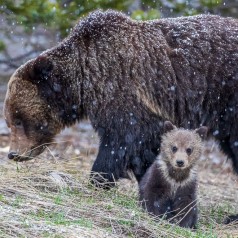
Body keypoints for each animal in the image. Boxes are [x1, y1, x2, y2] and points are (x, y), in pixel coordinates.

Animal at [3, 11, 238, 192]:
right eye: (10, 120)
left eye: (18, 120)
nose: (13, 154)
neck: (84, 80)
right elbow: (145, 152)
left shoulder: (122, 93)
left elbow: (121, 142)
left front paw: (98, 180)